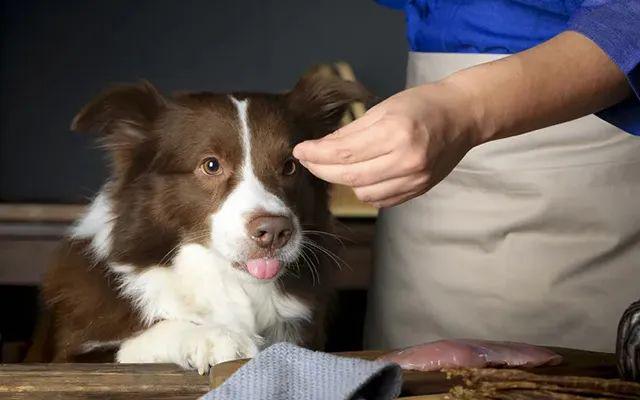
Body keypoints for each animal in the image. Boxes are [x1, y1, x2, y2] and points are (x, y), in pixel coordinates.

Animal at [27, 70, 370, 374]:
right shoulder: (67, 359)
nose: (274, 232)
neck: (227, 282)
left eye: (290, 166)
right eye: (211, 165)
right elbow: (132, 343)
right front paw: (211, 335)